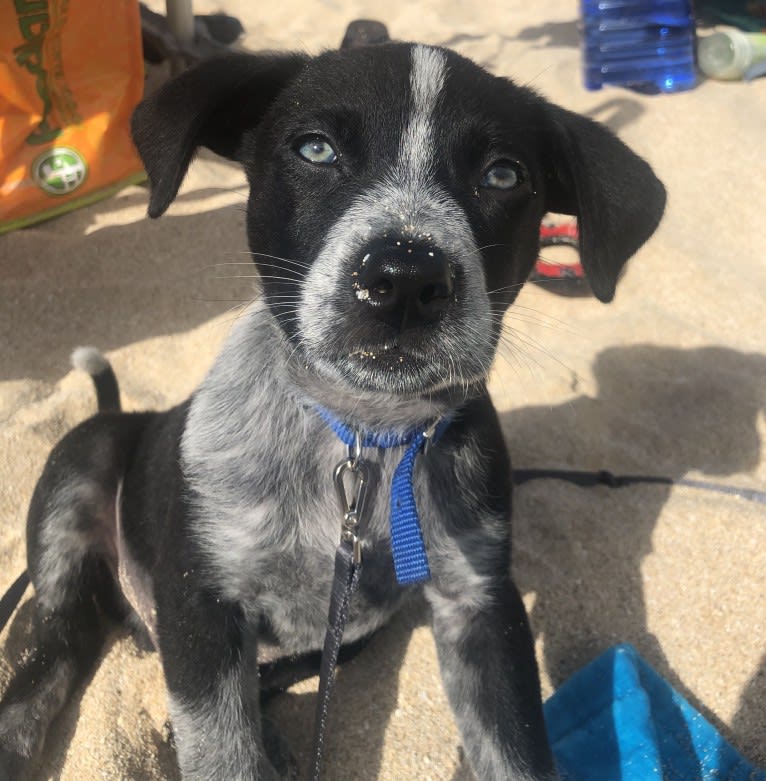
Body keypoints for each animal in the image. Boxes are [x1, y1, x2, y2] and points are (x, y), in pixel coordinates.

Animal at [0, 36, 664, 780]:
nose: (405, 278)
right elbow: (221, 753)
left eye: (503, 175)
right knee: (50, 653)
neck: (363, 437)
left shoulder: (480, 604)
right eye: (315, 149)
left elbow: (513, 753)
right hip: (80, 471)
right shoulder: (201, 601)